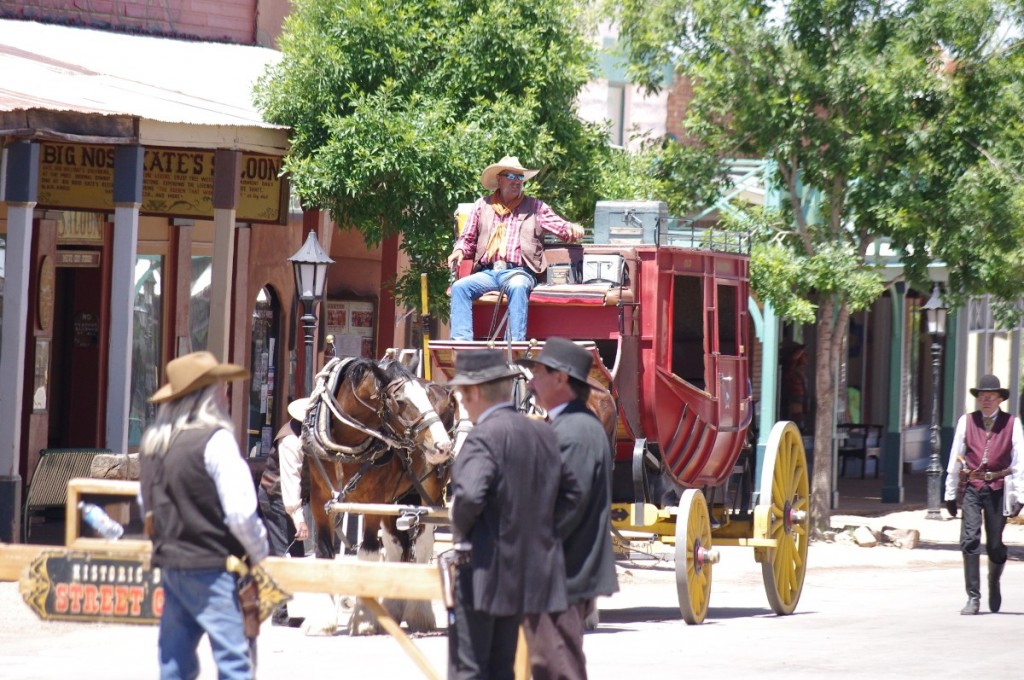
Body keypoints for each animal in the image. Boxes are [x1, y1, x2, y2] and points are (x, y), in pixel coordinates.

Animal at [301, 358, 458, 634]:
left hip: (429, 488)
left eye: (425, 397)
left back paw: (419, 614)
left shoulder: (373, 501)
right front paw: (322, 620)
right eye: (400, 400)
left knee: (422, 543)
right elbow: (324, 552)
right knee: (397, 545)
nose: (443, 445)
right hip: (397, 497)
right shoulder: (321, 501)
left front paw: (365, 619)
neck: (344, 446)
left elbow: (369, 553)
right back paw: (393, 609)